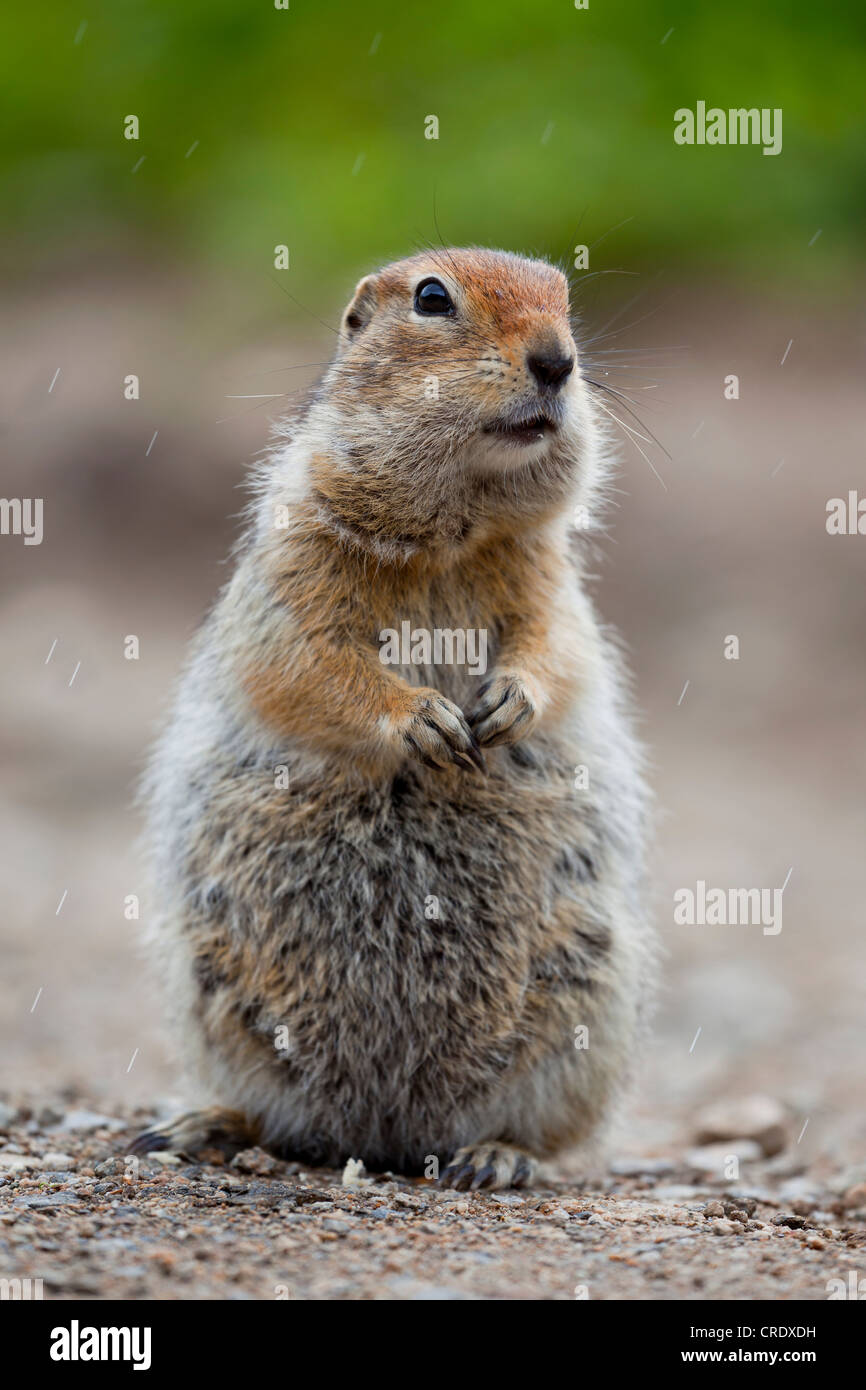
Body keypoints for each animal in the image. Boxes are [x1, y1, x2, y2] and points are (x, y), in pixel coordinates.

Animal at [132, 244, 653, 1189]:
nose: (558, 360)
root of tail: (385, 1136)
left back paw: (496, 1156)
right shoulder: (292, 570)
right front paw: (423, 720)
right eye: (433, 298)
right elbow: (310, 664)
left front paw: (509, 703)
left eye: (566, 297)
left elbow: (554, 648)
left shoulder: (552, 584)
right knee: (276, 1115)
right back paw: (205, 1125)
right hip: (211, 988)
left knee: (536, 1129)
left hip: (585, 992)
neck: (454, 527)